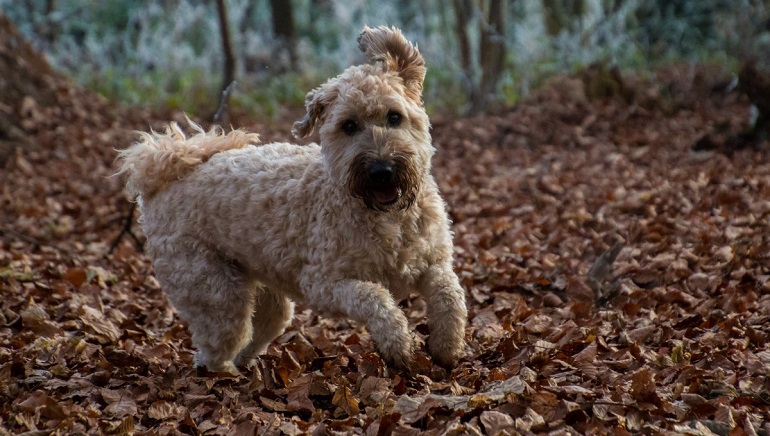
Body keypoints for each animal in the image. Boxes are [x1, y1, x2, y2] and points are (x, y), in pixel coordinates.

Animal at [117, 26, 464, 374]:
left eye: (394, 117)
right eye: (349, 126)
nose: (382, 171)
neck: (387, 216)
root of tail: (162, 177)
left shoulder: (432, 263)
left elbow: (450, 295)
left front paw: (446, 346)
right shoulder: (324, 283)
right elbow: (375, 299)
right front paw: (398, 343)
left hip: (261, 289)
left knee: (260, 328)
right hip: (214, 289)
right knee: (217, 346)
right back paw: (224, 372)